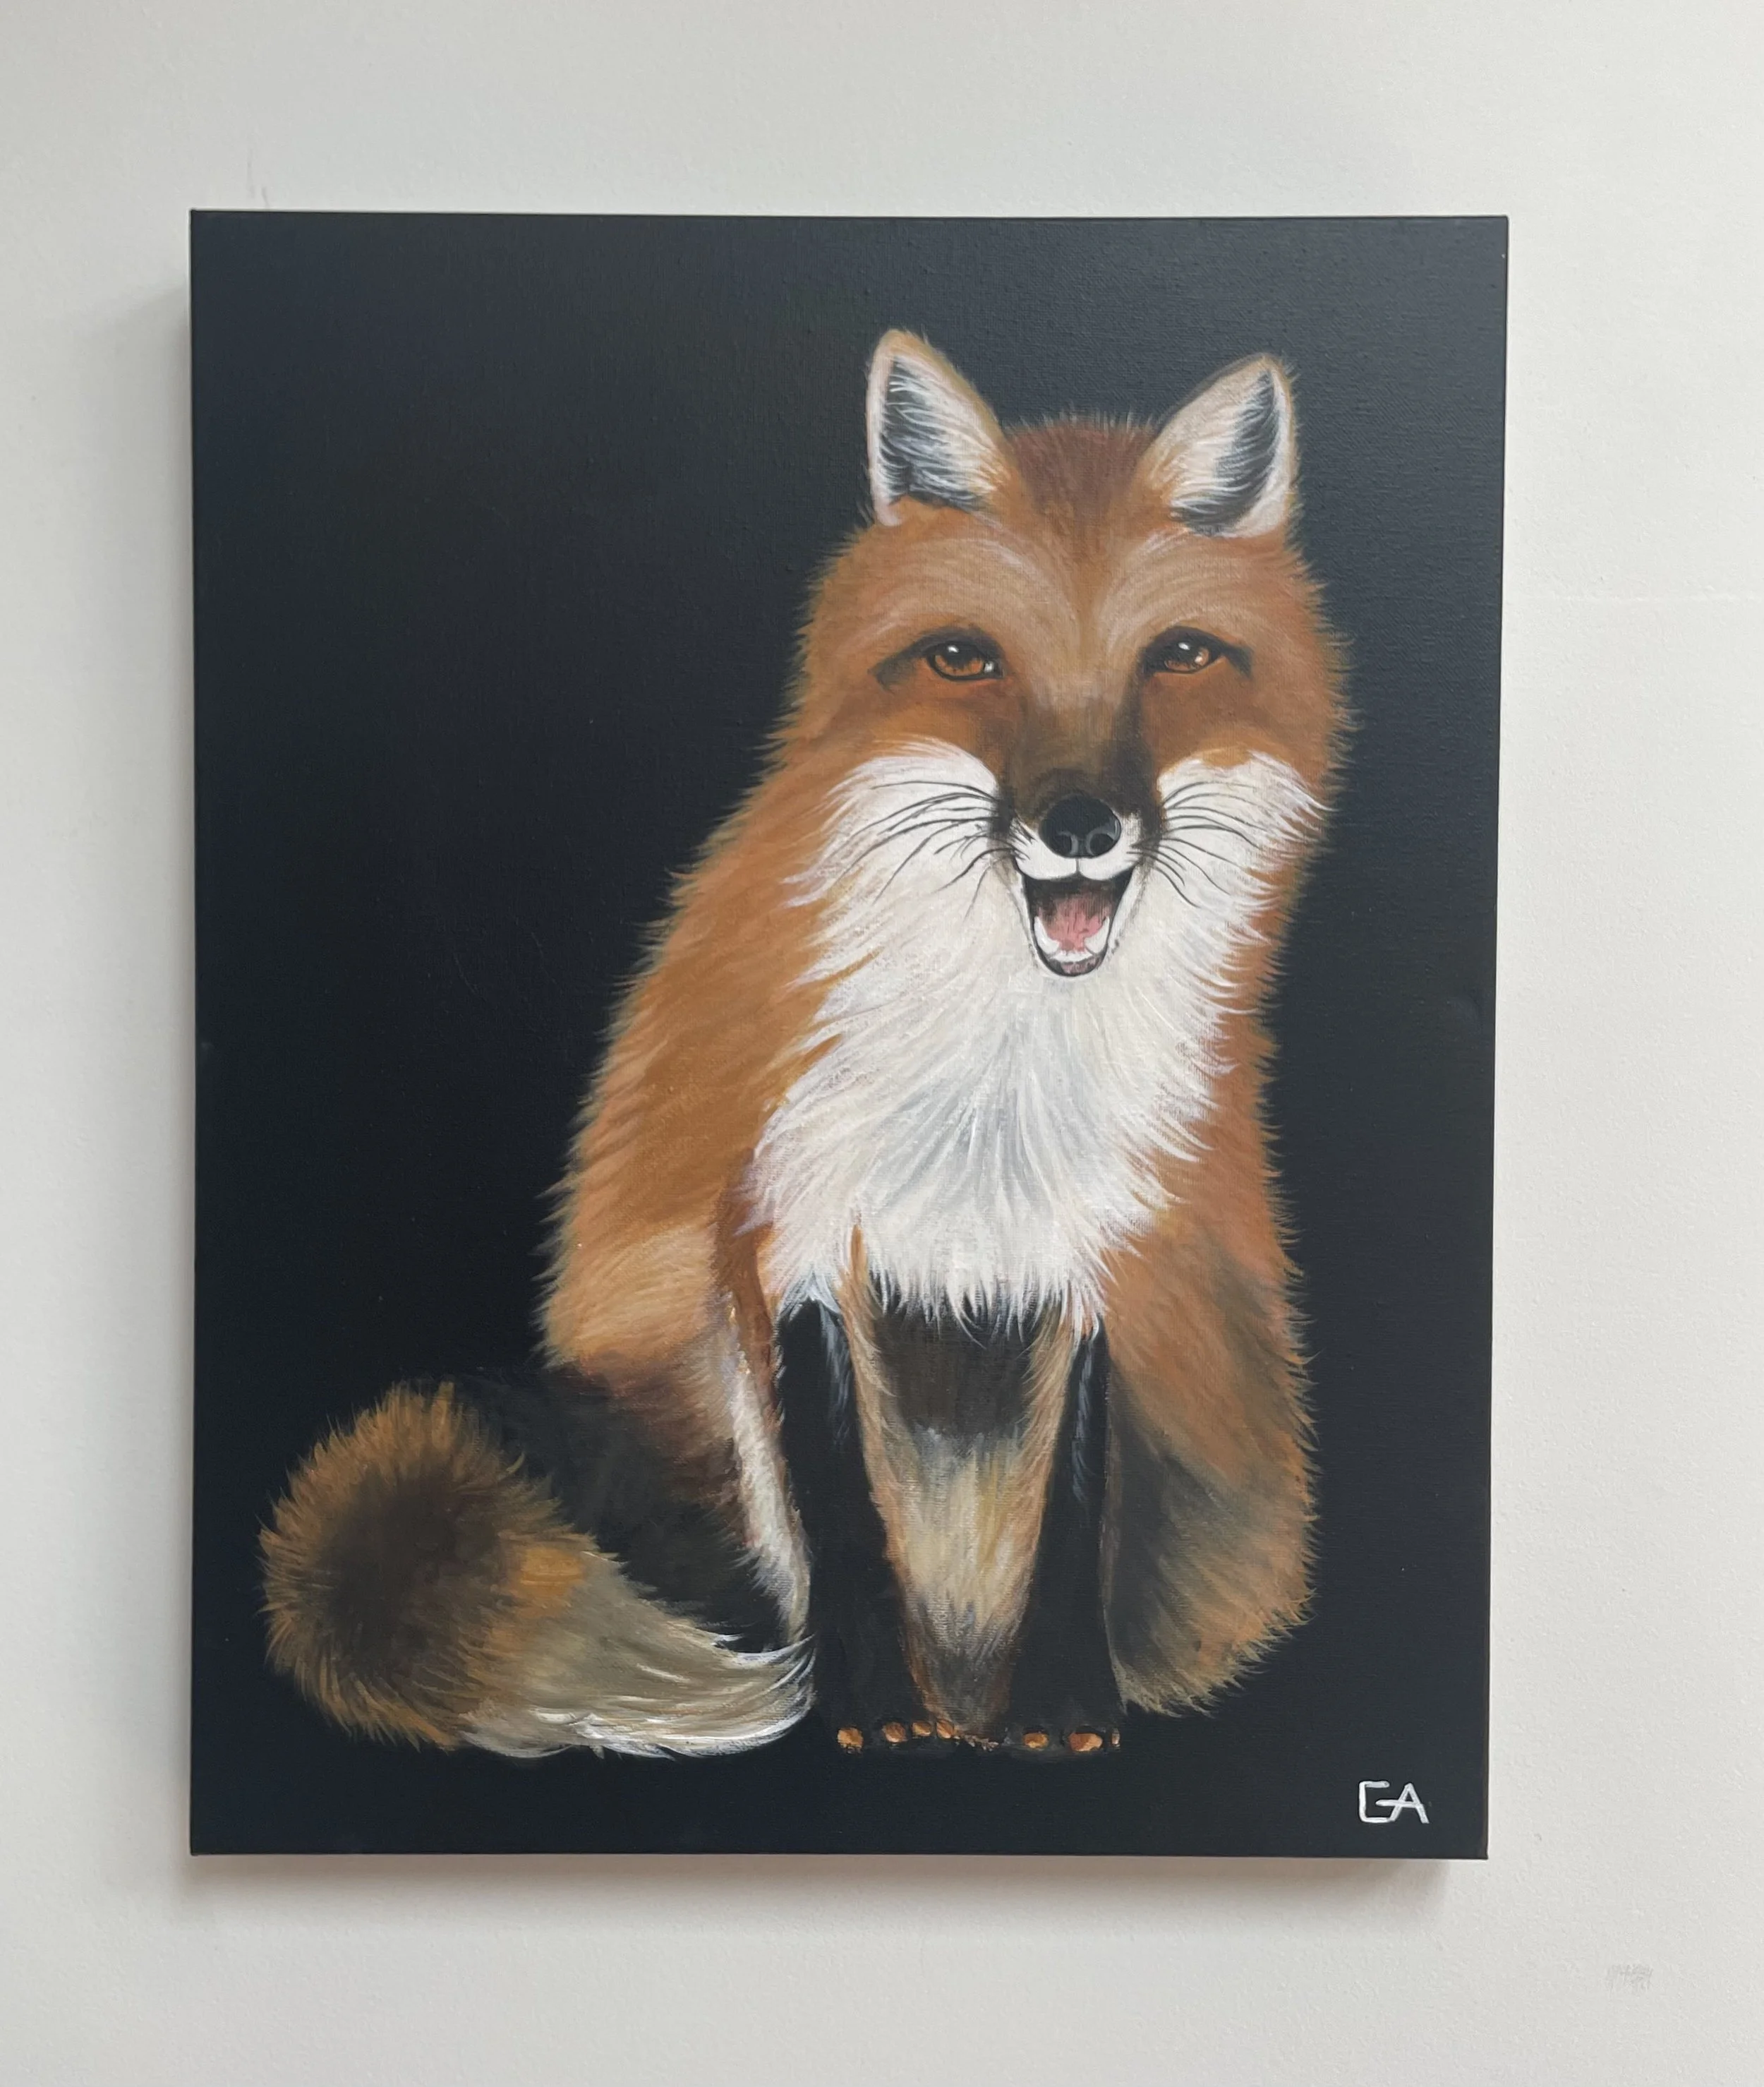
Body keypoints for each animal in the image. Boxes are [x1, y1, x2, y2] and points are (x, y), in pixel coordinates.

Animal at [261, 329, 1346, 1760]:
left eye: (1177, 656)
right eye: (968, 657)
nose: (1080, 825)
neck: (996, 1074)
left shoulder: (1109, 1251)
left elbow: (1076, 1486)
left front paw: (1064, 1702)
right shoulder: (789, 1220)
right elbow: (834, 1493)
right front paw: (868, 1699)